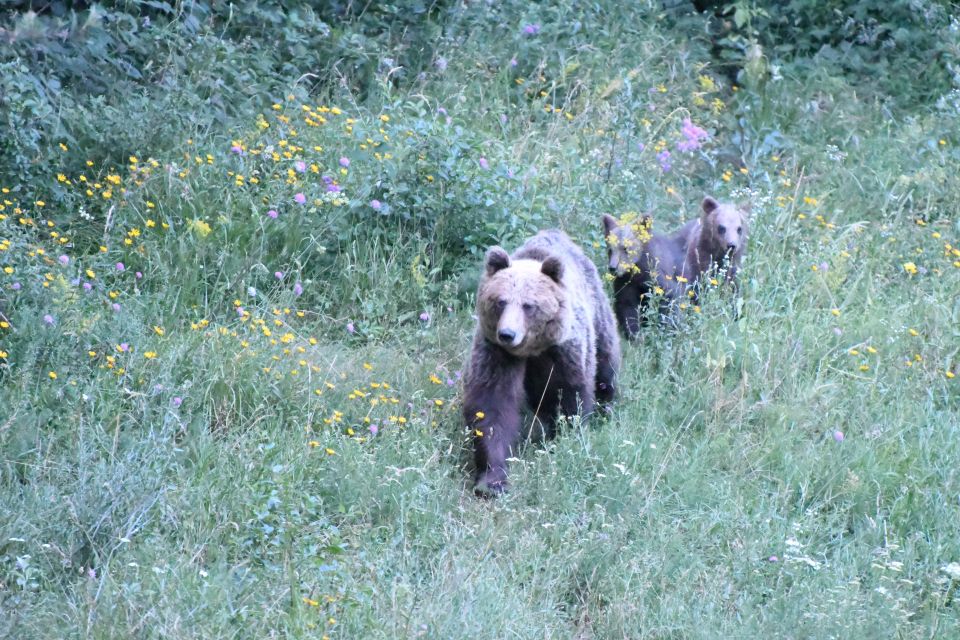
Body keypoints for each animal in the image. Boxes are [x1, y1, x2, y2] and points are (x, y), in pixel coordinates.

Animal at [464, 230, 624, 496]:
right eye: (500, 301)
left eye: (528, 305)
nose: (507, 334)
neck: (531, 349)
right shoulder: (495, 353)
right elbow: (491, 406)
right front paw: (492, 480)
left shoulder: (562, 352)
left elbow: (569, 397)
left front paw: (563, 438)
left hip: (598, 313)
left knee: (605, 364)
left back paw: (607, 406)